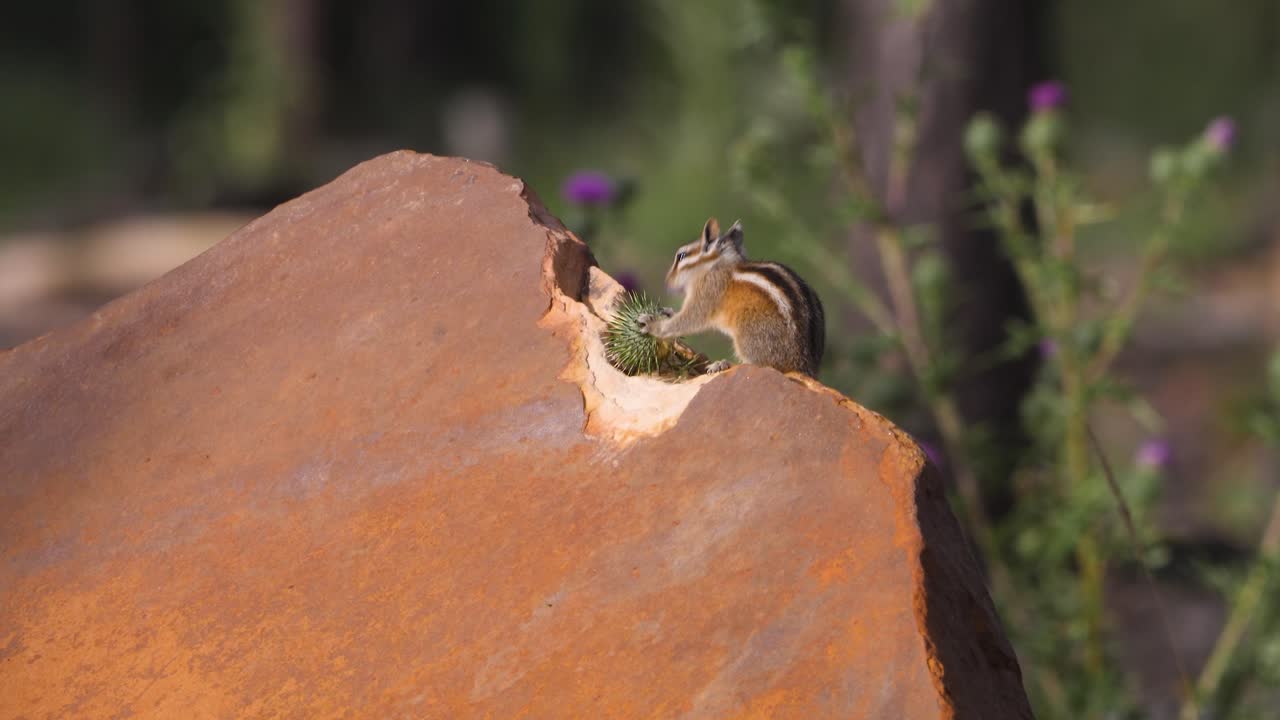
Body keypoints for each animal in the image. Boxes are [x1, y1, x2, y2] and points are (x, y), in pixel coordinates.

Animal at [637, 217, 825, 377]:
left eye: (681, 256)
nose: (668, 281)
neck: (714, 266)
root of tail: (803, 365)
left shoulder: (707, 294)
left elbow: (690, 318)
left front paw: (653, 325)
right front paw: (667, 312)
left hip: (747, 332)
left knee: (759, 365)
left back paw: (722, 364)